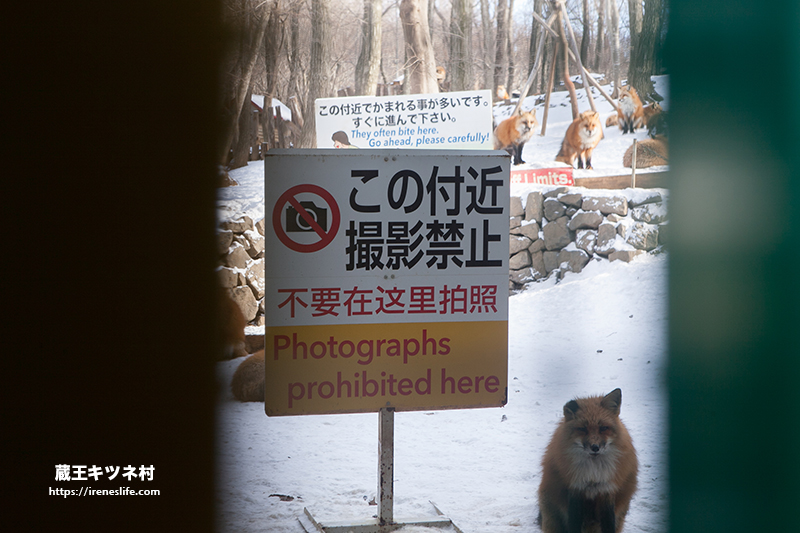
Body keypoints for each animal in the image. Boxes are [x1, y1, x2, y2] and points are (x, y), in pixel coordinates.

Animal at [536, 386, 636, 532]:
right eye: (583, 429)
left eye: (603, 428)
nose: (595, 447)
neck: (593, 474)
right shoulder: (575, 489)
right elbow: (573, 524)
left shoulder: (607, 490)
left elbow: (609, 524)